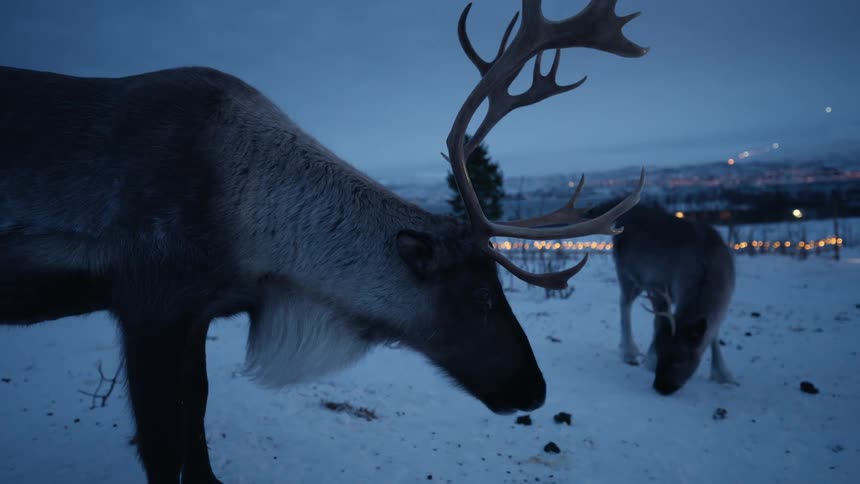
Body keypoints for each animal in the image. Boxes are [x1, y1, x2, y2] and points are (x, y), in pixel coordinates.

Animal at [0, 1, 647, 482]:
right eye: (482, 297)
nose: (535, 390)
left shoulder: (198, 312)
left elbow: (198, 414)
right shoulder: (148, 306)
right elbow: (162, 443)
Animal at [610, 203, 736, 395]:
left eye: (681, 359)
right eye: (661, 353)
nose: (661, 387)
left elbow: (713, 333)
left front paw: (723, 374)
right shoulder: (657, 286)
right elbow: (657, 323)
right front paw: (649, 361)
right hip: (626, 274)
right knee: (624, 303)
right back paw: (628, 351)